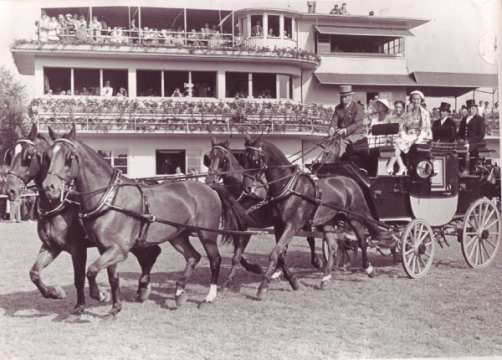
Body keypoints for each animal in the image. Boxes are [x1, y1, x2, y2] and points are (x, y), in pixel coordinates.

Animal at [4, 124, 162, 316]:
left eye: (28, 156)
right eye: (10, 155)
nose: (9, 189)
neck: (60, 205)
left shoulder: (78, 249)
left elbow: (79, 278)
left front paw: (81, 304)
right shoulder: (51, 246)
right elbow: (34, 273)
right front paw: (54, 292)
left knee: (149, 254)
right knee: (150, 254)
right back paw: (142, 289)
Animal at [204, 138, 322, 290]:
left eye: (223, 159)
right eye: (208, 158)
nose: (209, 181)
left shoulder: (249, 227)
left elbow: (239, 254)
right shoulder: (239, 227)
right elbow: (237, 256)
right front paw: (251, 270)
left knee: (309, 239)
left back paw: (314, 262)